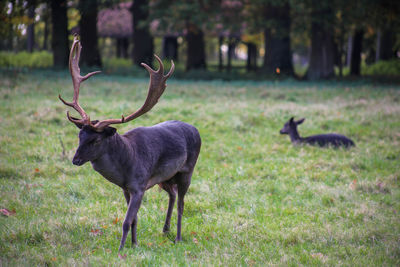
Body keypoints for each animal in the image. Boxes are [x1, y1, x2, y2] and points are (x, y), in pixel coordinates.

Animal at [59, 35, 202, 251]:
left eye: (95, 139)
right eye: (80, 135)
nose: (75, 159)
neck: (126, 166)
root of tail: (196, 130)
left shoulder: (139, 185)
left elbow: (127, 220)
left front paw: (120, 249)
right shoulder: (125, 188)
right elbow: (134, 219)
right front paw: (134, 244)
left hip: (187, 170)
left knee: (181, 203)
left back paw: (177, 237)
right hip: (166, 177)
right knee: (173, 194)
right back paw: (165, 230)